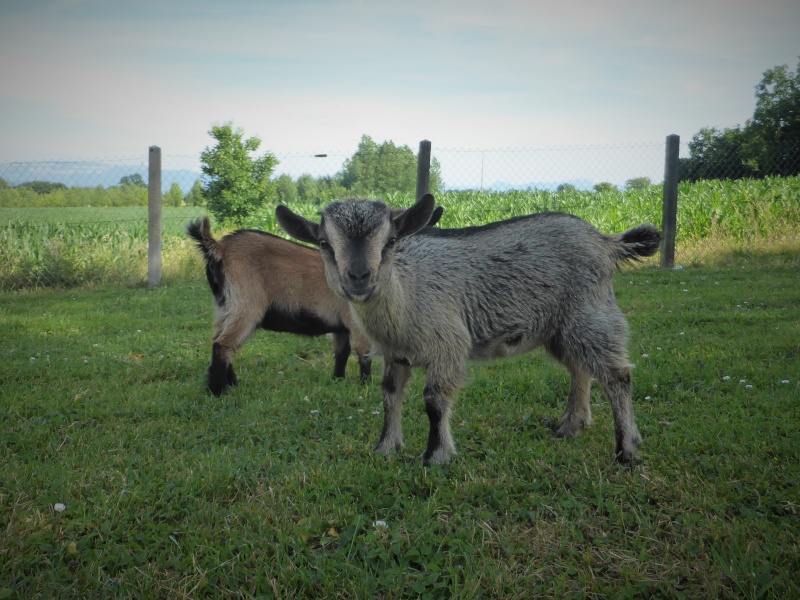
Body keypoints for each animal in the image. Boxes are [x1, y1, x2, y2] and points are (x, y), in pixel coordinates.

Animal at [276, 195, 664, 466]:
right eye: (325, 244)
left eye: (390, 242)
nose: (358, 276)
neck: (407, 291)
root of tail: (606, 240)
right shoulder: (395, 354)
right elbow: (389, 396)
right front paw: (385, 447)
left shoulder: (447, 343)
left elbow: (434, 401)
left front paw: (435, 456)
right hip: (560, 326)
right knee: (579, 369)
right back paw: (571, 426)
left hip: (591, 313)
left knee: (616, 375)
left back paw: (626, 452)